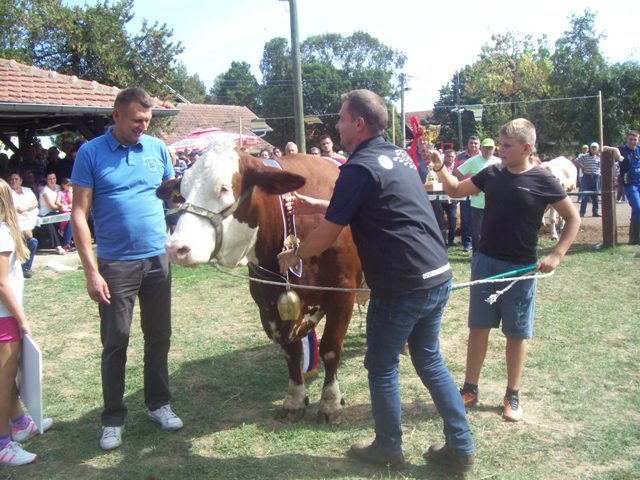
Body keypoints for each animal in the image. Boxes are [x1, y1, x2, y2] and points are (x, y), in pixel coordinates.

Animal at [158, 138, 362, 424]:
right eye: (183, 193)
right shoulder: (268, 299)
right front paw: (294, 400)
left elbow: (331, 348)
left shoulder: (342, 293)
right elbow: (292, 351)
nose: (176, 248)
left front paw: (331, 403)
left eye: (224, 188)